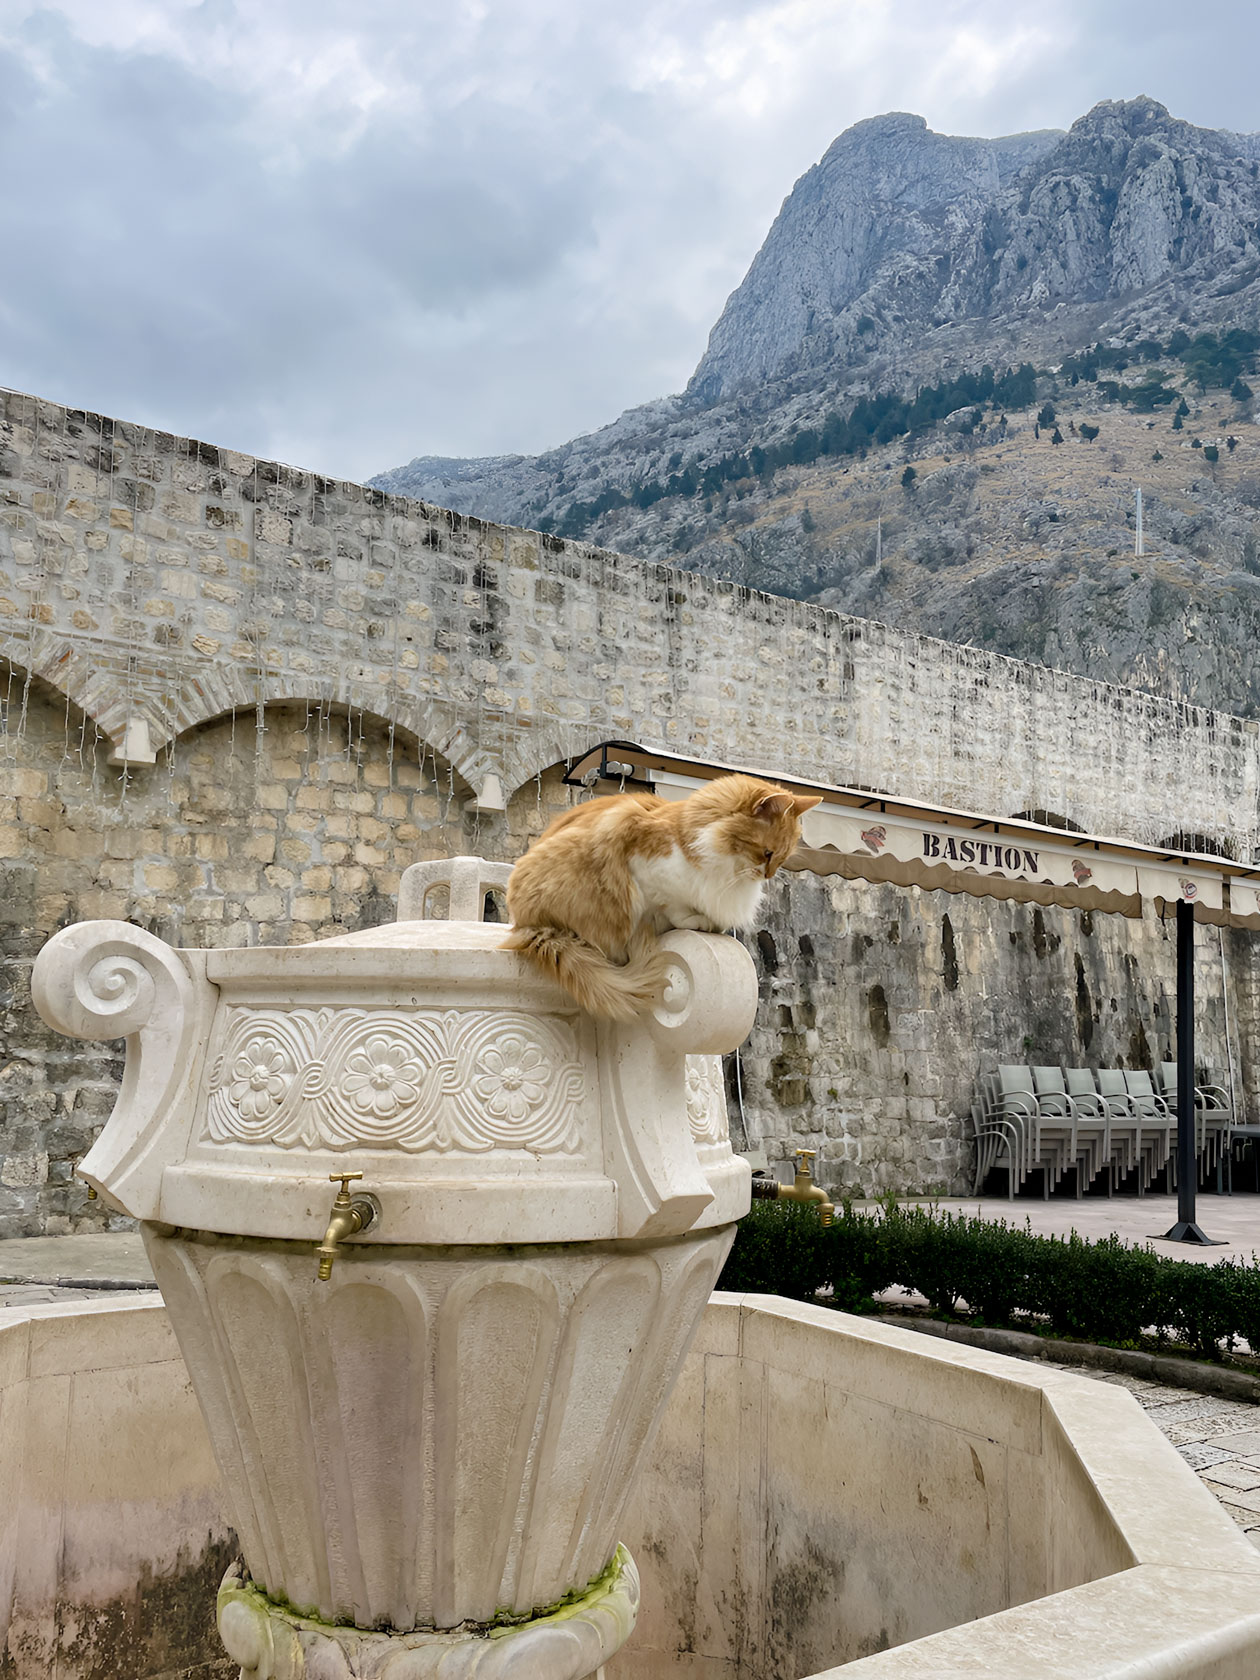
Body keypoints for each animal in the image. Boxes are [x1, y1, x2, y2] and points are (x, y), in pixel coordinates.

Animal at [507, 776, 823, 1021]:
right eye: (767, 853)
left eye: (781, 859)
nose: (768, 875)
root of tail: (526, 927)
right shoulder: (649, 871)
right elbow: (673, 905)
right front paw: (698, 920)